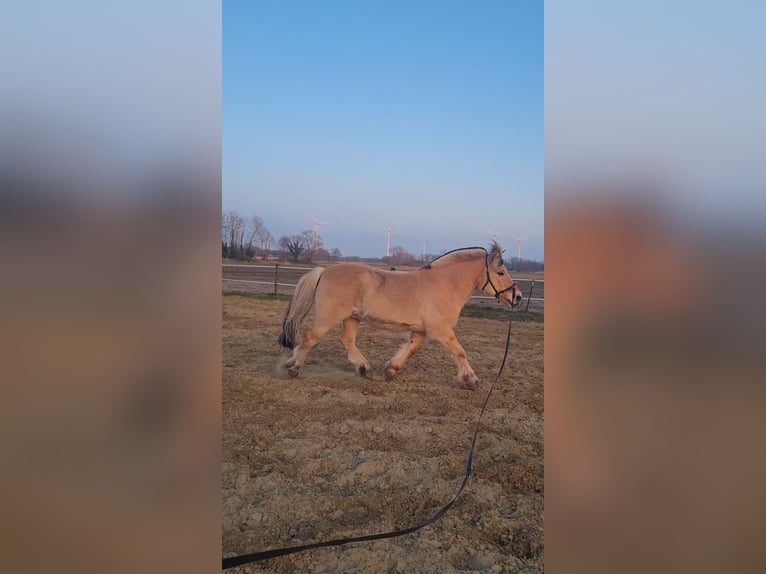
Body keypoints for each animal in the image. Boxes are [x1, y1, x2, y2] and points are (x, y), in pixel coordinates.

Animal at [278, 241, 522, 388]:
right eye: (501, 272)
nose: (518, 297)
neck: (445, 284)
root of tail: (324, 271)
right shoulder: (441, 330)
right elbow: (460, 352)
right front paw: (472, 380)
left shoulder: (420, 330)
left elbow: (410, 350)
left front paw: (390, 370)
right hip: (328, 317)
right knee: (310, 339)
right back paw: (294, 368)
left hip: (352, 317)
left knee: (346, 341)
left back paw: (365, 369)